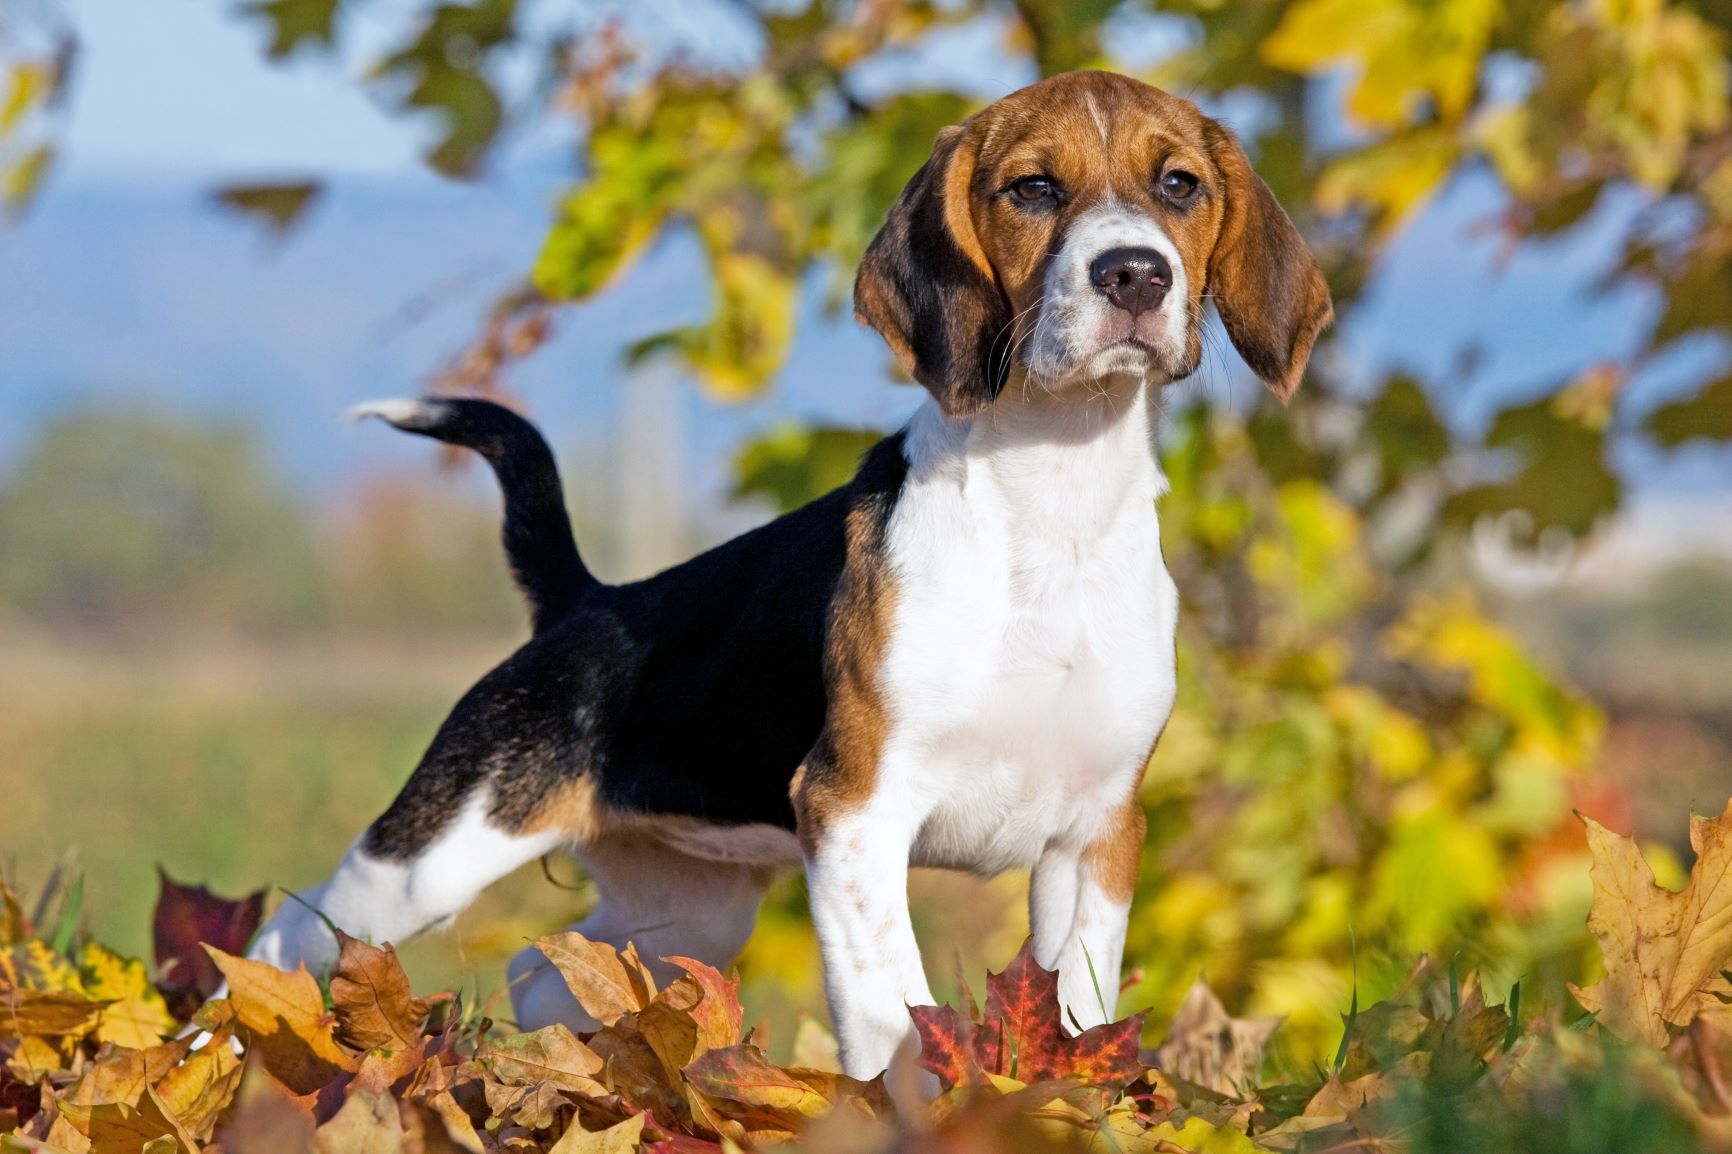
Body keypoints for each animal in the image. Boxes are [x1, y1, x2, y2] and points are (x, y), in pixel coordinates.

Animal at [247, 69, 1323, 1081]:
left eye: (1178, 184)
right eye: (1032, 189)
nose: (1133, 273)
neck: (1051, 496)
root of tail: (584, 600)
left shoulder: (1097, 834)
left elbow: (1079, 1003)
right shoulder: (853, 810)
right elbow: (893, 1012)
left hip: (688, 904)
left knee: (545, 969)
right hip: (428, 860)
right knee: (286, 938)